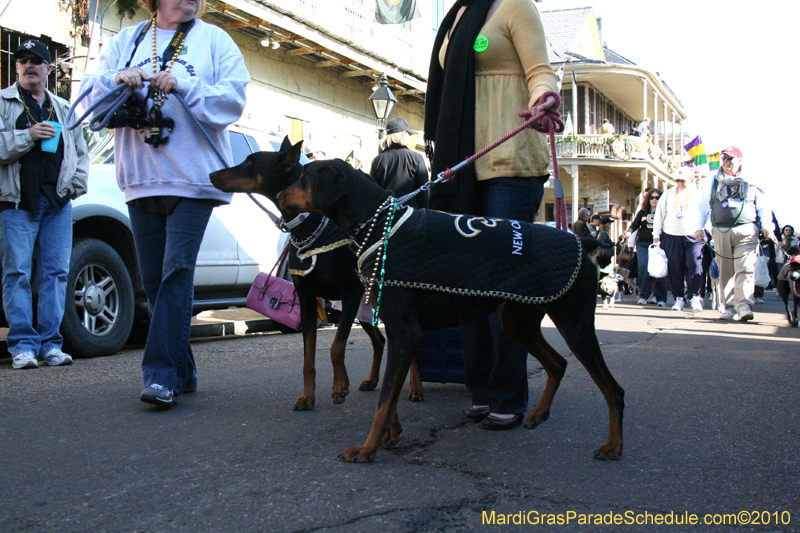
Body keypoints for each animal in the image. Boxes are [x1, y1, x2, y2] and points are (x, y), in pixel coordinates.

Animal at [211, 138, 424, 408]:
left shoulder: (350, 293)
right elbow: (309, 357)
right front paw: (308, 397)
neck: (308, 228)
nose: (212, 174)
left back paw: (415, 388)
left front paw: (338, 387)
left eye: (250, 162)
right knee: (380, 340)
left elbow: (336, 347)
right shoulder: (307, 299)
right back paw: (371, 380)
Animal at [280, 156, 624, 460]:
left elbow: (384, 398)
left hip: (575, 326)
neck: (379, 225)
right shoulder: (397, 330)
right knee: (558, 364)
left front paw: (366, 449)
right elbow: (391, 395)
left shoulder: (405, 333)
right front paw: (391, 434)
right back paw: (539, 414)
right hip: (518, 321)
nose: (281, 195)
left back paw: (613, 446)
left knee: (614, 390)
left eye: (304, 176)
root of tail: (584, 242)